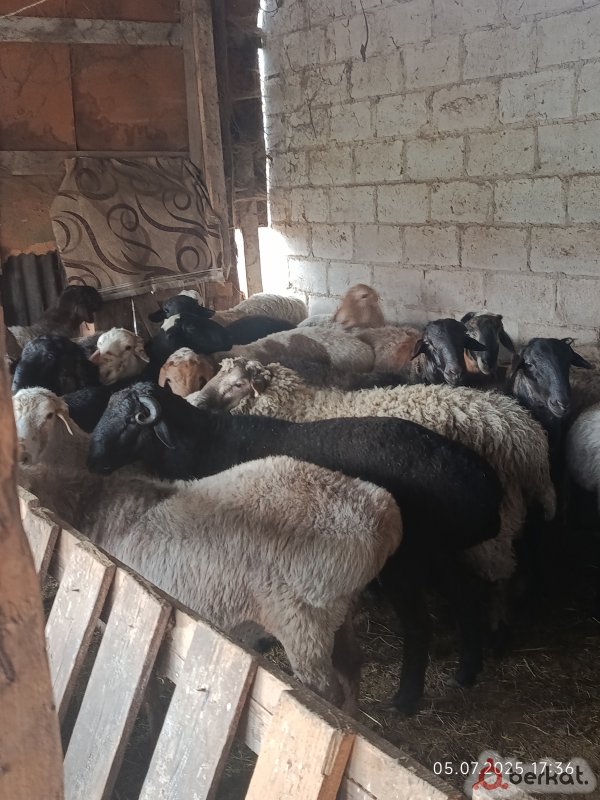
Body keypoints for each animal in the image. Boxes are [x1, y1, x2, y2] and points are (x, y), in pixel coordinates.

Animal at [14, 388, 402, 708]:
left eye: (49, 416)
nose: (19, 453)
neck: (95, 496)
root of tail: (382, 517)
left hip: (303, 624)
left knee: (326, 691)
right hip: (338, 614)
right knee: (352, 667)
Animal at [88, 381, 504, 713]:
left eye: (132, 420)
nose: (92, 458)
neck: (204, 441)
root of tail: (484, 485)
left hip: (408, 560)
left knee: (419, 625)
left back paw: (404, 701)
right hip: (439, 551)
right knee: (466, 595)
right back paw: (466, 672)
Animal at [192, 357, 555, 586]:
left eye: (238, 384)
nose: (196, 402)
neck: (304, 408)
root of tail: (522, 431)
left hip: (495, 518)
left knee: (499, 569)